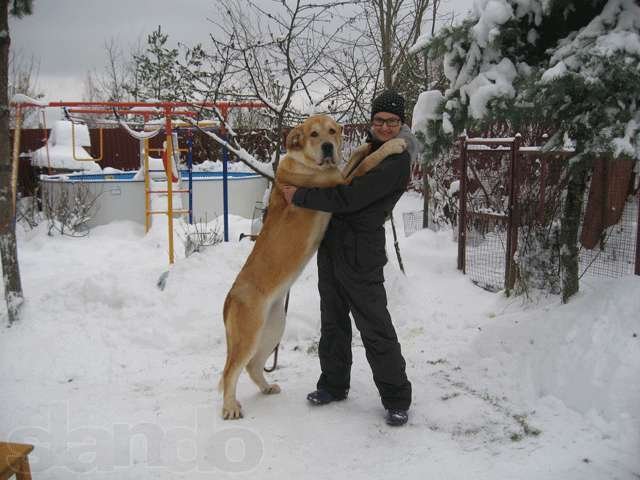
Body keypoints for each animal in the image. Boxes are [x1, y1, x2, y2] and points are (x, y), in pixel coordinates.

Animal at [218, 114, 402, 418]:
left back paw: (266, 388)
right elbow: (365, 165)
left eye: (332, 131)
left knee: (252, 366)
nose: (328, 147)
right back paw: (230, 407)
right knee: (230, 371)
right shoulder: (339, 185)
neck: (305, 161)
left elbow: (354, 159)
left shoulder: (339, 177)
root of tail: (230, 298)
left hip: (273, 328)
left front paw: (363, 146)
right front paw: (392, 146)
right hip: (249, 335)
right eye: (314, 134)